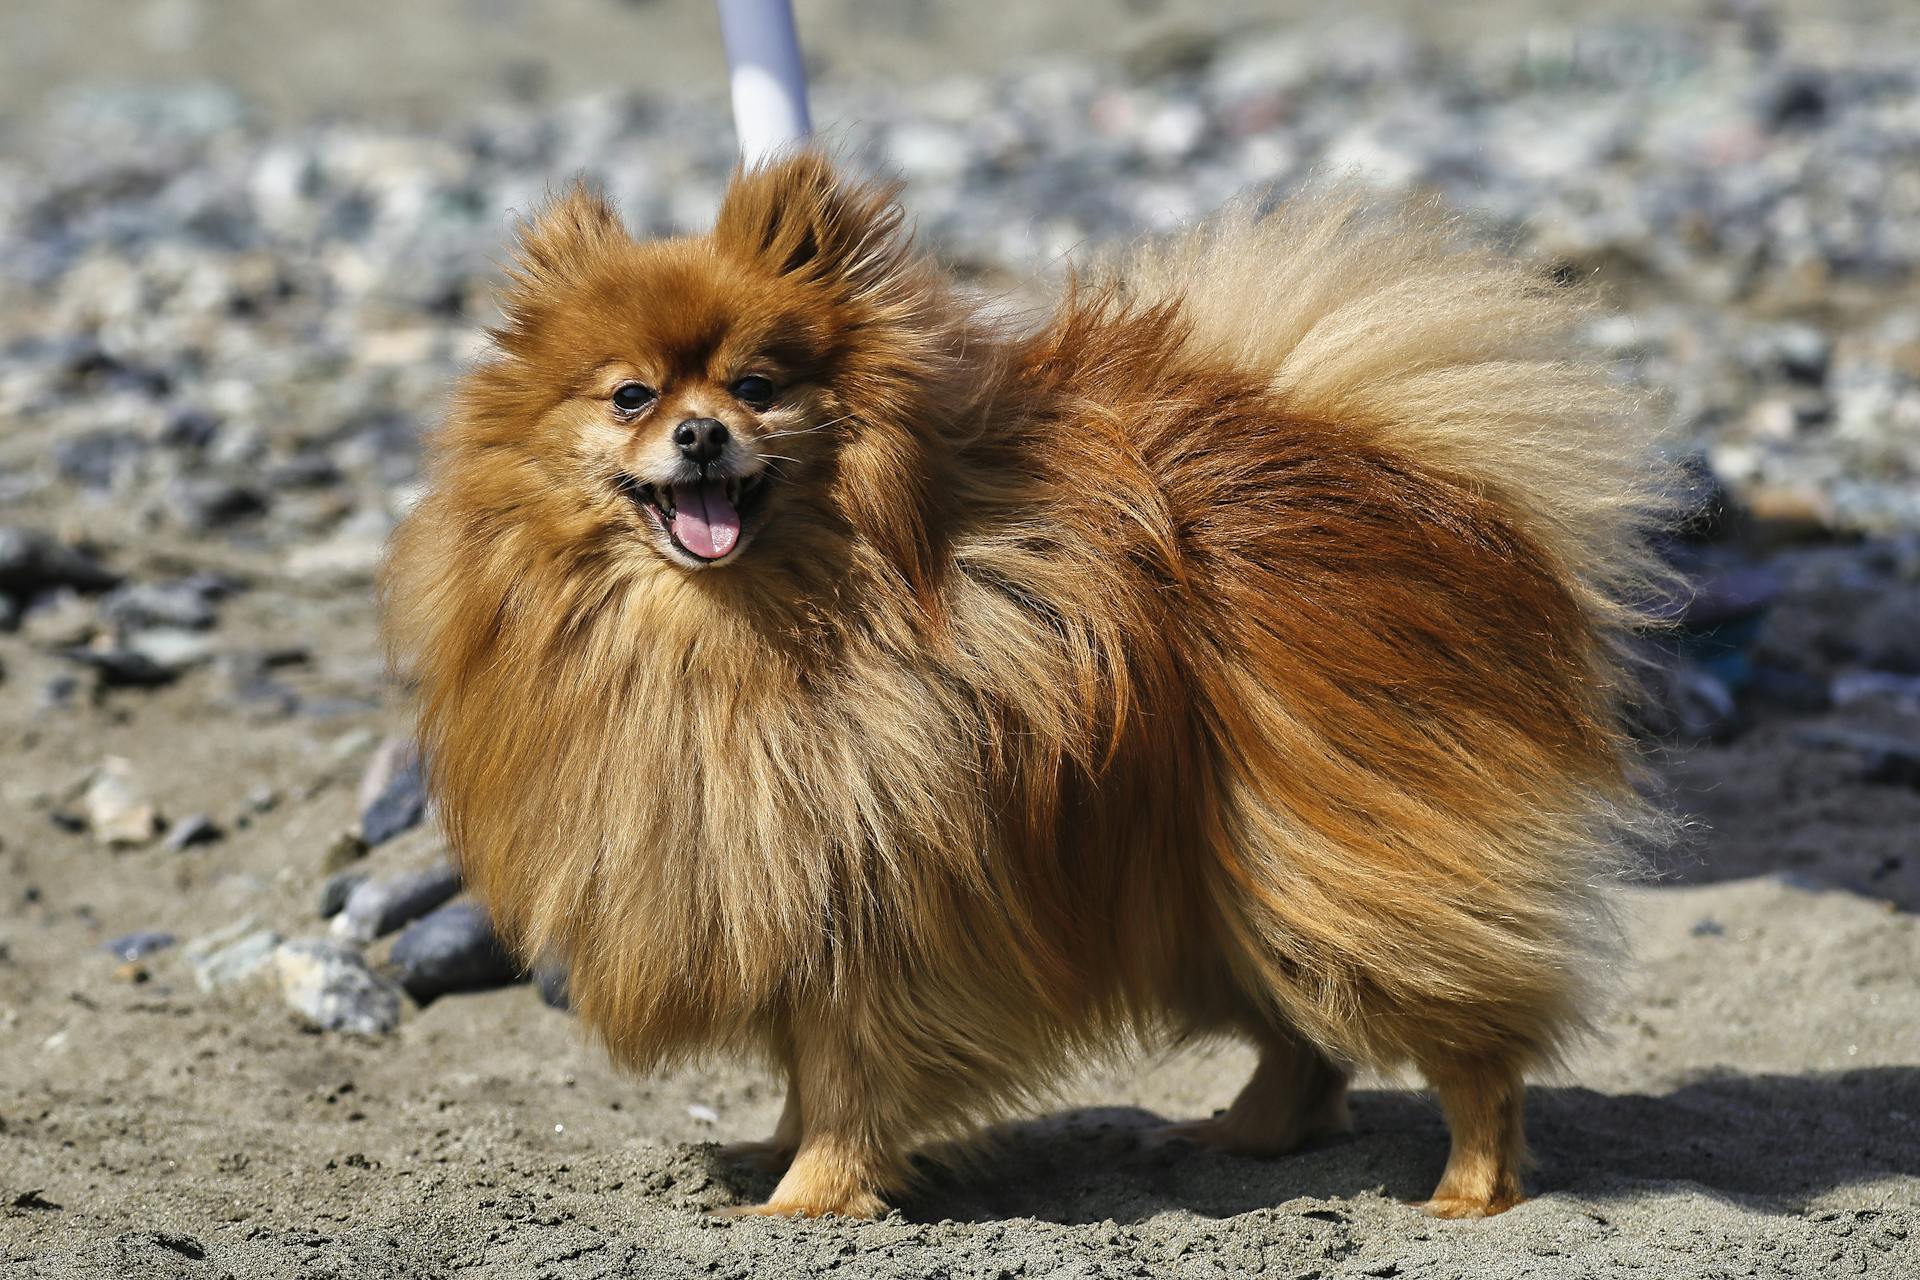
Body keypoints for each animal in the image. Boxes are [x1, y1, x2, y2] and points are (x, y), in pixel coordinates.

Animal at [385, 150, 1666, 1220]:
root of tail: (1391, 465)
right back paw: (1245, 1133)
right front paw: (775, 1151)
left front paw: (811, 1199)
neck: (733, 631)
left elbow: (847, 1071)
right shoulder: (795, 884)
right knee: (1305, 1036)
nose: (701, 434)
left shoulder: (878, 905)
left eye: (756, 384)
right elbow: (803, 1062)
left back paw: (1470, 1189)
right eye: (631, 396)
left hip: (1333, 868)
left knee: (1469, 1046)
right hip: (1219, 889)